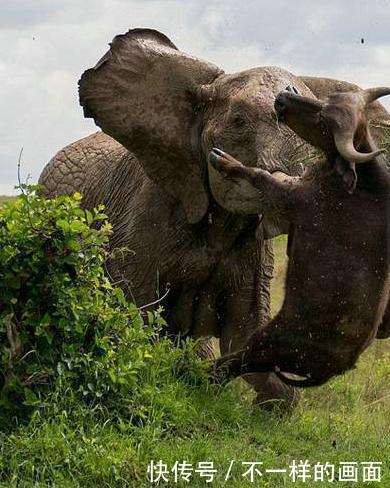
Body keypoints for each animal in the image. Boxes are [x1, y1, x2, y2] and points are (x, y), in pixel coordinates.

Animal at [210, 86, 390, 386]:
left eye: (323, 121)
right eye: (326, 100)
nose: (283, 98)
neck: (361, 186)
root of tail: (335, 369)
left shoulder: (293, 199)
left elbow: (260, 175)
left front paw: (223, 159)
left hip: (264, 344)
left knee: (230, 364)